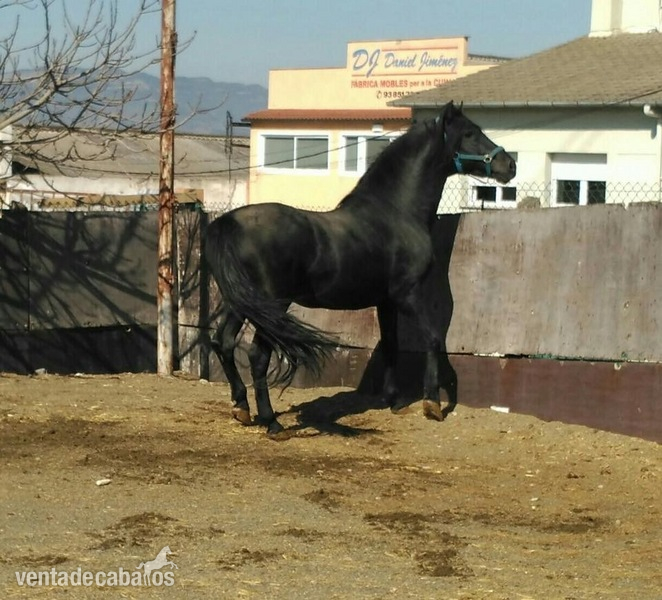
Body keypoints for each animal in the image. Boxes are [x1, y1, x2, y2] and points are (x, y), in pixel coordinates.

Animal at [205, 101, 516, 437]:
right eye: (470, 132)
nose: (510, 165)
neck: (395, 212)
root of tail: (229, 223)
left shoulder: (386, 301)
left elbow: (391, 345)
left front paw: (393, 400)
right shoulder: (408, 294)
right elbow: (433, 338)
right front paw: (432, 404)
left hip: (242, 303)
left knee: (223, 342)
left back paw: (241, 408)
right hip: (273, 305)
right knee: (257, 356)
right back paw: (271, 422)